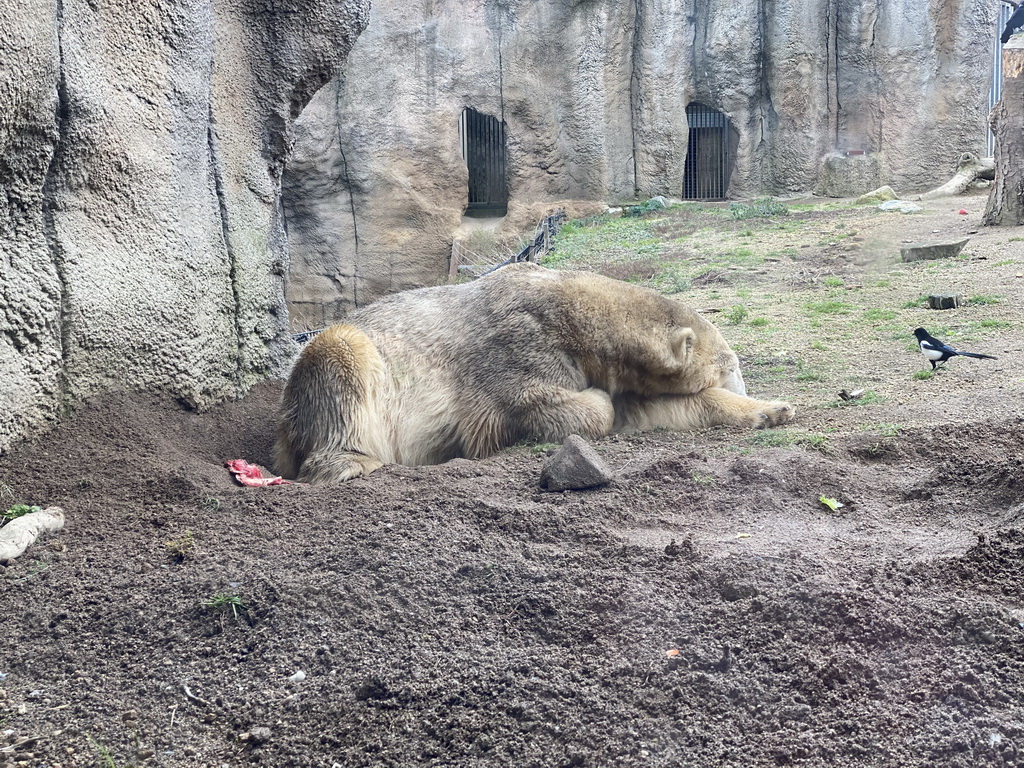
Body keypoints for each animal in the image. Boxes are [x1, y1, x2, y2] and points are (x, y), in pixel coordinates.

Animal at [276, 262, 794, 483]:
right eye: (731, 364)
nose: (740, 373)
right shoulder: (520, 343)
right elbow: (534, 406)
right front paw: (595, 400)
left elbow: (652, 408)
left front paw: (774, 409)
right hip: (345, 361)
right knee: (340, 360)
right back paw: (351, 461)